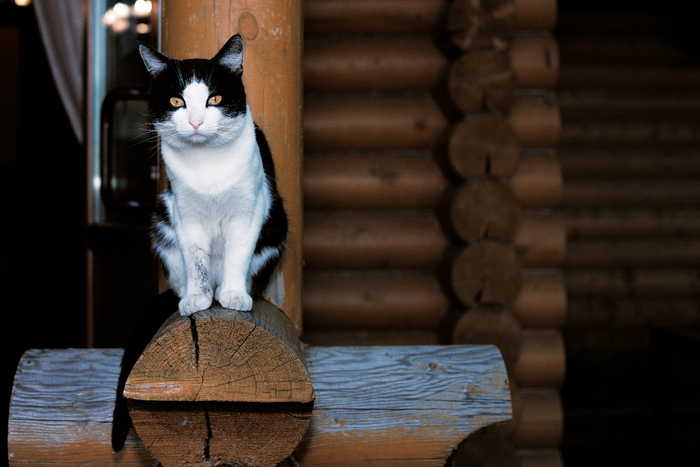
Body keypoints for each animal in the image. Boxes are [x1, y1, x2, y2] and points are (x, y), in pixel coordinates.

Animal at [139, 34, 288, 316]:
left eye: (215, 99)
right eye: (177, 101)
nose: (196, 122)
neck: (206, 163)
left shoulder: (249, 210)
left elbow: (238, 255)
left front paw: (234, 295)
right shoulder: (184, 213)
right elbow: (195, 259)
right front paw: (197, 297)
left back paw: (223, 292)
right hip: (161, 222)